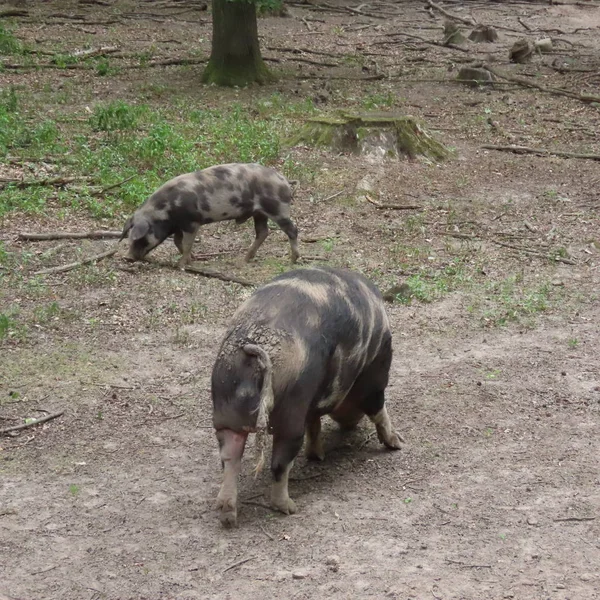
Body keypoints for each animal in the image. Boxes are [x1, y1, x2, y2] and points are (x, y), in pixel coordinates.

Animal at [119, 163, 300, 268]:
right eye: (129, 236)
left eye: (140, 237)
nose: (127, 257)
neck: (166, 211)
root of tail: (284, 180)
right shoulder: (178, 225)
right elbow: (178, 241)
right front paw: (192, 258)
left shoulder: (191, 223)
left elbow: (187, 243)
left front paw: (181, 265)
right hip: (259, 213)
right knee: (263, 232)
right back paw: (244, 260)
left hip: (278, 209)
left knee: (293, 230)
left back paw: (292, 260)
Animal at [211, 266, 404, 524]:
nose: (350, 425)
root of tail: (255, 350)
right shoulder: (374, 374)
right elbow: (378, 409)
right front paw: (398, 443)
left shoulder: (312, 403)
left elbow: (314, 423)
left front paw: (317, 456)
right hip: (289, 416)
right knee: (279, 464)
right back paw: (289, 508)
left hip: (225, 413)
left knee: (230, 459)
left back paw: (228, 516)